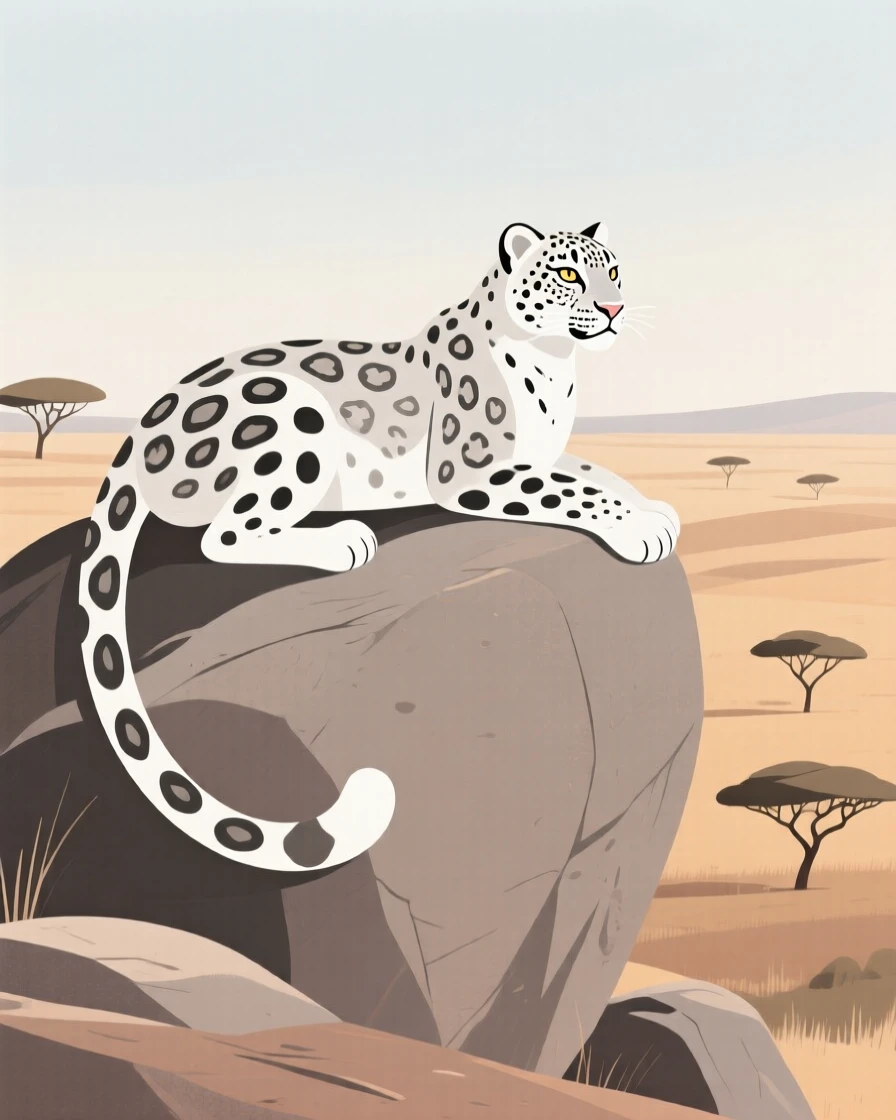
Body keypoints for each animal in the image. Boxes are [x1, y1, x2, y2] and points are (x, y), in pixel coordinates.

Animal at [79, 220, 680, 874]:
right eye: (568, 273)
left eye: (612, 270)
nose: (614, 307)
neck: (554, 364)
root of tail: (146, 423)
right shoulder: (472, 470)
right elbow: (571, 491)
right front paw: (638, 528)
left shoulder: (540, 456)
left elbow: (594, 470)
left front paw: (655, 508)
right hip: (293, 415)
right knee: (225, 534)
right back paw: (343, 540)